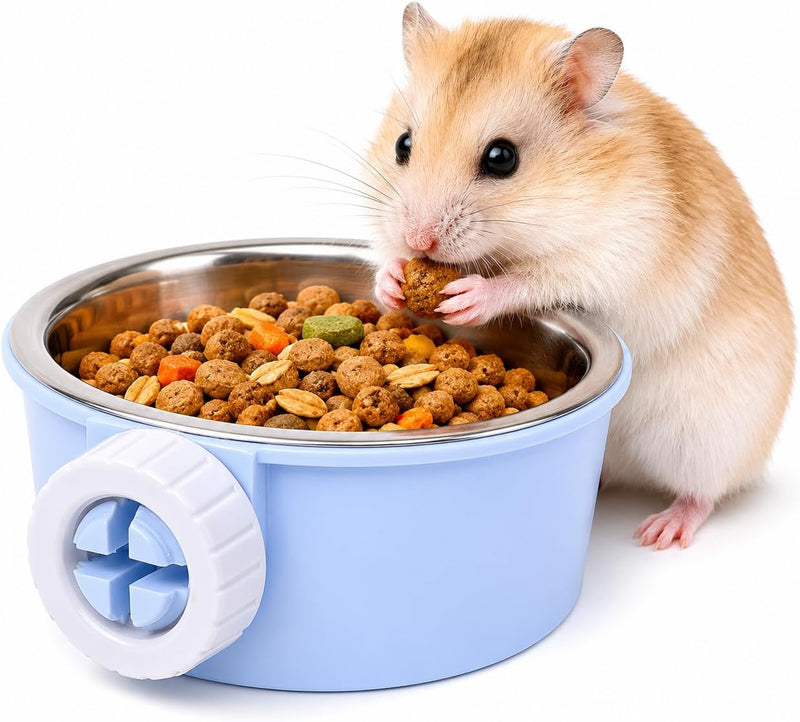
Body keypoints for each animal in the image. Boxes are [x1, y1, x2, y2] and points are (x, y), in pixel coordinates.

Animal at [365, 3, 795, 549]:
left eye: (502, 158)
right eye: (403, 143)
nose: (419, 240)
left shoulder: (614, 251)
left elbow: (531, 281)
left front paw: (467, 295)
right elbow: (383, 252)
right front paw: (392, 282)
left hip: (711, 439)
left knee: (704, 493)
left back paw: (659, 533)